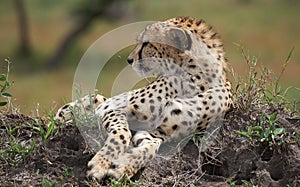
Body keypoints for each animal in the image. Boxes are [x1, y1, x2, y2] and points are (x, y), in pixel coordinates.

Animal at [54, 16, 232, 180]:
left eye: (147, 43)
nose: (129, 59)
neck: (194, 79)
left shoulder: (158, 132)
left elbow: (152, 147)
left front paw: (123, 167)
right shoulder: (111, 109)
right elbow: (122, 133)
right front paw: (101, 163)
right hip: (93, 102)